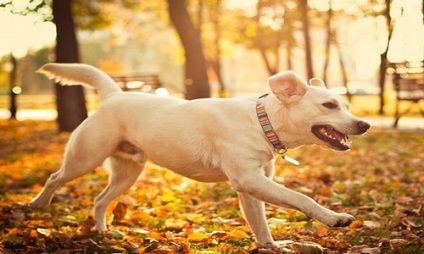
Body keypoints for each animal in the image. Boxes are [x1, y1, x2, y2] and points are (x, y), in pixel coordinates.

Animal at [30, 63, 368, 248]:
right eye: (329, 105)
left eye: (347, 106)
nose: (363, 124)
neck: (261, 122)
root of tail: (114, 95)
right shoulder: (248, 179)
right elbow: (301, 198)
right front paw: (334, 217)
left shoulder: (252, 186)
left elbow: (259, 222)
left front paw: (269, 246)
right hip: (84, 158)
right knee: (55, 177)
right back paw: (38, 204)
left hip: (127, 172)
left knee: (100, 201)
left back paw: (103, 233)